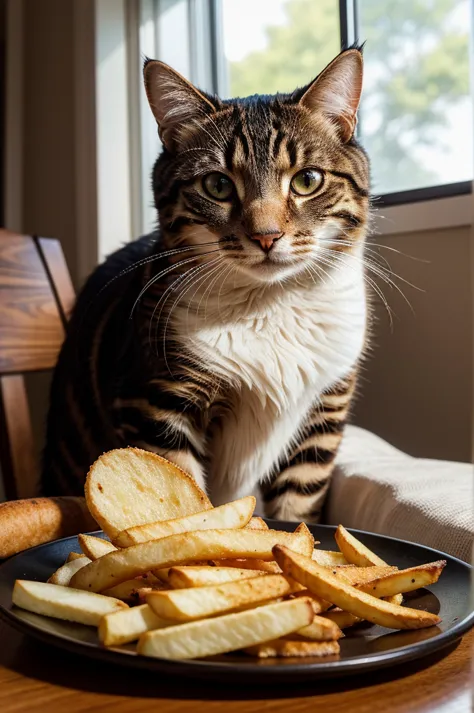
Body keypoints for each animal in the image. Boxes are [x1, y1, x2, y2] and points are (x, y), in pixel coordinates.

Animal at [42, 46, 370, 524]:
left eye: (307, 180)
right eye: (217, 185)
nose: (267, 235)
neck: (270, 306)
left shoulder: (322, 416)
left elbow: (297, 507)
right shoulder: (157, 401)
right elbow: (180, 489)